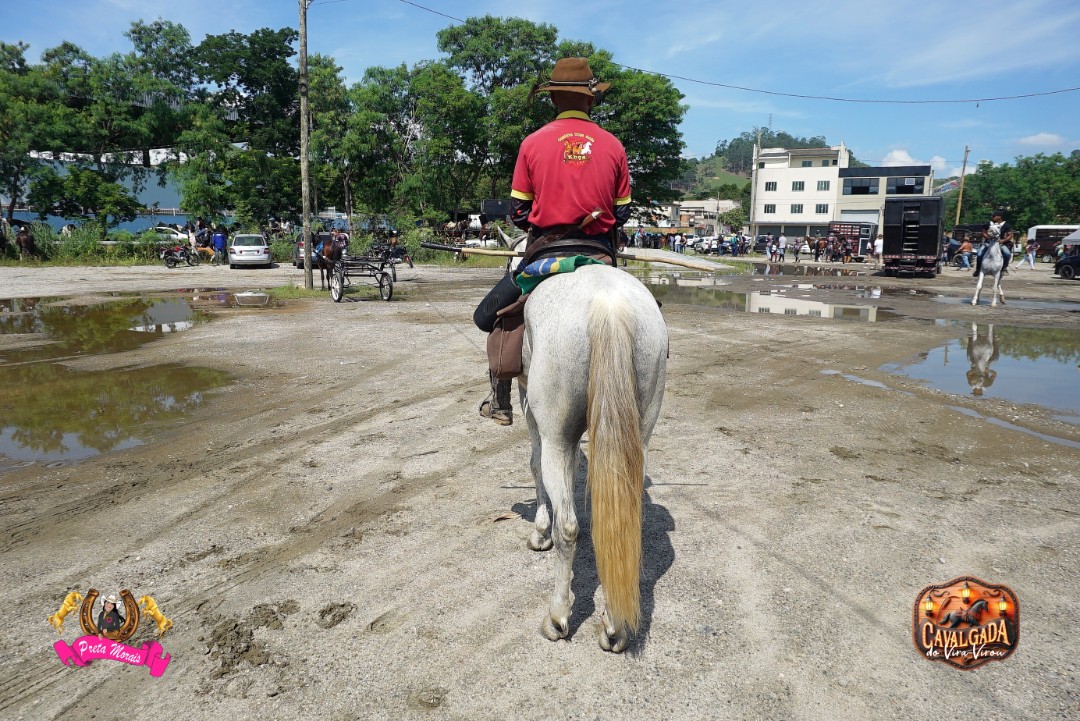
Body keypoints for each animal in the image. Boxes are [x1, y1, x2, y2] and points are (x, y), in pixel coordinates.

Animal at [518, 255, 667, 652]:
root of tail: (608, 304)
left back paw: (557, 617)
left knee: (567, 524)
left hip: (554, 433)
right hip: (639, 430)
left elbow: (535, 466)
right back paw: (615, 628)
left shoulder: (531, 409)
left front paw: (540, 532)